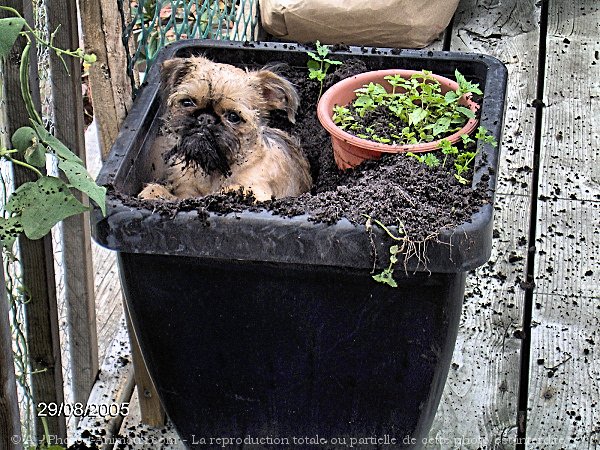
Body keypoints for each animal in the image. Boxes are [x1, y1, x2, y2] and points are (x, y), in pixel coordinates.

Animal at [138, 55, 312, 201]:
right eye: (187, 102)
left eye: (233, 117)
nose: (205, 118)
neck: (214, 169)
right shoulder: (186, 191)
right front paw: (154, 193)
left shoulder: (257, 191)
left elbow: (233, 189)